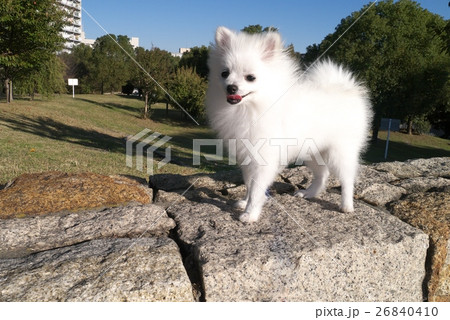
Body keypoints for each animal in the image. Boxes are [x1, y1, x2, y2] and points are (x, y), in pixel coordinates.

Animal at [207, 26, 372, 222]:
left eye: (250, 78)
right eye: (224, 73)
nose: (231, 87)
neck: (253, 107)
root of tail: (346, 89)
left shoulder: (264, 158)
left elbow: (256, 189)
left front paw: (250, 213)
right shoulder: (247, 155)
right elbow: (249, 183)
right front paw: (245, 202)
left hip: (340, 151)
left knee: (347, 179)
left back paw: (346, 205)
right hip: (312, 151)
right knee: (322, 175)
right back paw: (309, 193)